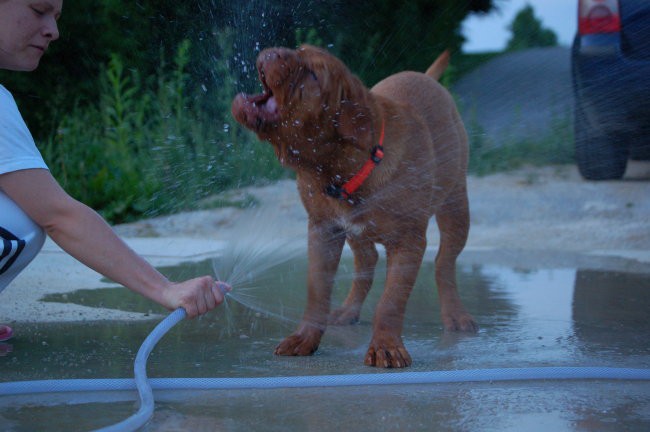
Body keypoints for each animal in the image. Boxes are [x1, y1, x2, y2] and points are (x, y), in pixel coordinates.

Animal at [230, 44, 474, 368]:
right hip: (356, 233)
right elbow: (317, 291)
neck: (342, 167)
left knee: (444, 263)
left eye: (313, 75)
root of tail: (424, 76)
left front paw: (386, 347)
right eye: (299, 50)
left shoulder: (408, 242)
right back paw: (348, 310)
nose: (275, 51)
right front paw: (305, 337)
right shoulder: (323, 230)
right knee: (367, 263)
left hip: (455, 208)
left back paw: (455, 315)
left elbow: (391, 301)